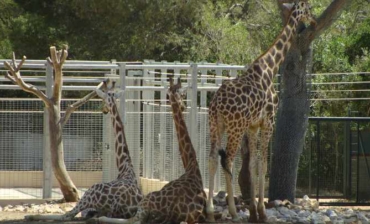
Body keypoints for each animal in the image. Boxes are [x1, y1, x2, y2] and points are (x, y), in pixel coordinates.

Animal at [24, 78, 143, 220]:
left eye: (103, 99)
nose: (104, 110)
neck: (125, 166)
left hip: (91, 192)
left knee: (68, 215)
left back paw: (30, 216)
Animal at [205, 1, 316, 222]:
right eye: (308, 7)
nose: (314, 20)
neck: (270, 68)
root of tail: (217, 104)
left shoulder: (253, 125)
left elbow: (252, 164)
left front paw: (253, 211)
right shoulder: (268, 122)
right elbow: (263, 164)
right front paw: (261, 212)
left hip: (216, 124)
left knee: (213, 158)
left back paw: (212, 212)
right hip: (235, 128)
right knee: (227, 160)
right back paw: (232, 211)